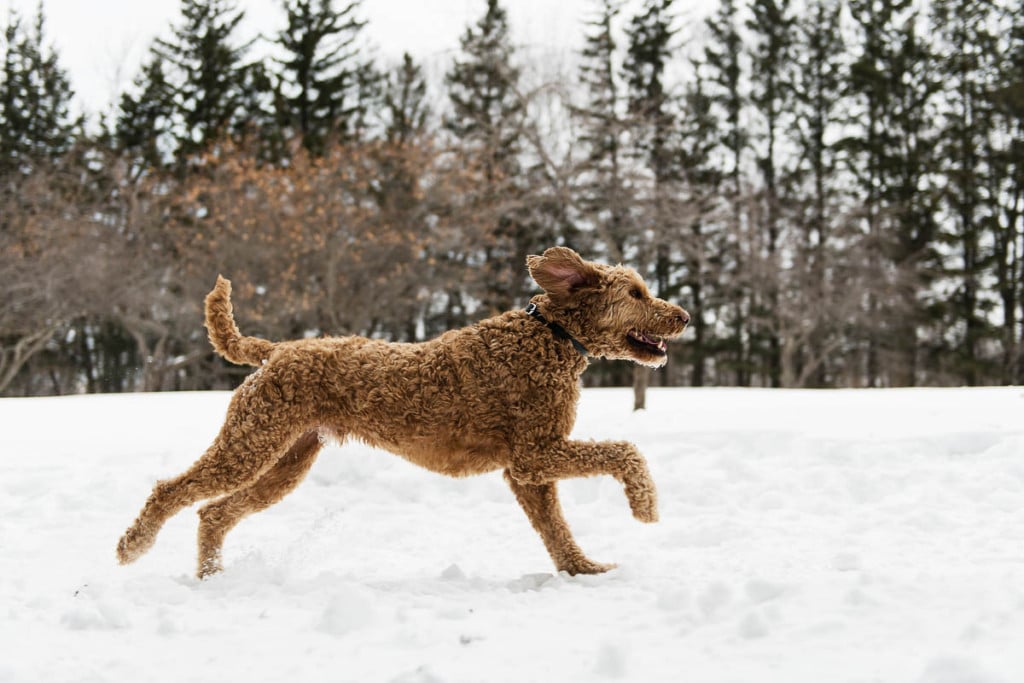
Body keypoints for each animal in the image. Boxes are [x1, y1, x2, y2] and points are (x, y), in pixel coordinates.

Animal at [116, 245, 692, 577]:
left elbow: (556, 531)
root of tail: (275, 351)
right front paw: (645, 506)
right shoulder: (535, 453)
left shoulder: (526, 471)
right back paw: (132, 547)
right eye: (638, 292)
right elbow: (624, 451)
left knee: (213, 512)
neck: (550, 336)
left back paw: (211, 575)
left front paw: (584, 570)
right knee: (172, 490)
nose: (684, 316)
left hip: (287, 459)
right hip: (252, 441)